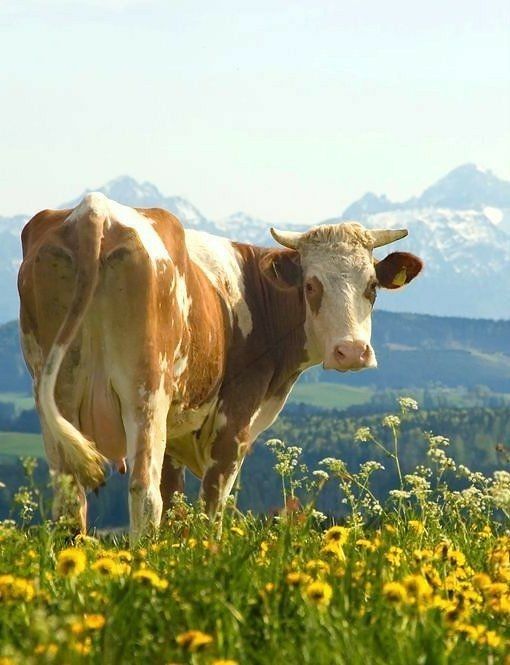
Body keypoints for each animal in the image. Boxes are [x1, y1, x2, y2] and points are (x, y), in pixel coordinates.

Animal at [18, 193, 423, 541]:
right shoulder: (234, 422)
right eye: (311, 285)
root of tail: (94, 211)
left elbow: (176, 507)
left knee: (71, 501)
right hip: (146, 390)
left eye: (372, 286)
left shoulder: (177, 432)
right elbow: (210, 509)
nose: (351, 352)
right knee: (144, 494)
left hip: (53, 395)